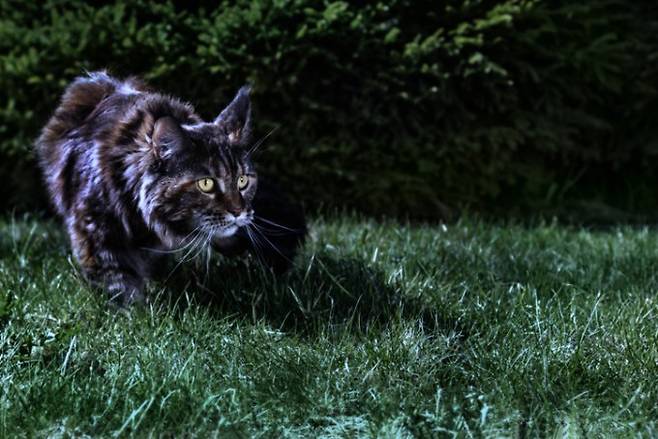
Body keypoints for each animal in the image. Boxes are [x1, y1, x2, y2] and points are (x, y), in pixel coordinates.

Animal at [34, 71, 304, 306]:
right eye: (206, 184)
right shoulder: (95, 231)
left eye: (243, 181)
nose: (238, 212)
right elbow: (119, 284)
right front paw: (133, 318)